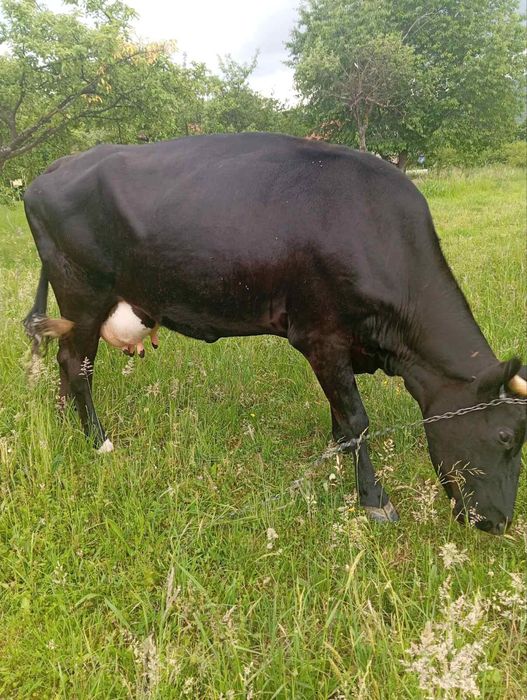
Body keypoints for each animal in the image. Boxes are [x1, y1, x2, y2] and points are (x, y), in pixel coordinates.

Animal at [22, 133, 526, 534]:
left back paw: (67, 424)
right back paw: (98, 440)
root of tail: (56, 166)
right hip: (82, 294)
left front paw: (336, 458)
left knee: (66, 365)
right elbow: (358, 420)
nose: (500, 523)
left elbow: (340, 414)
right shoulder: (320, 335)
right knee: (77, 365)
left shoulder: (339, 348)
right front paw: (374, 500)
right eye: (505, 436)